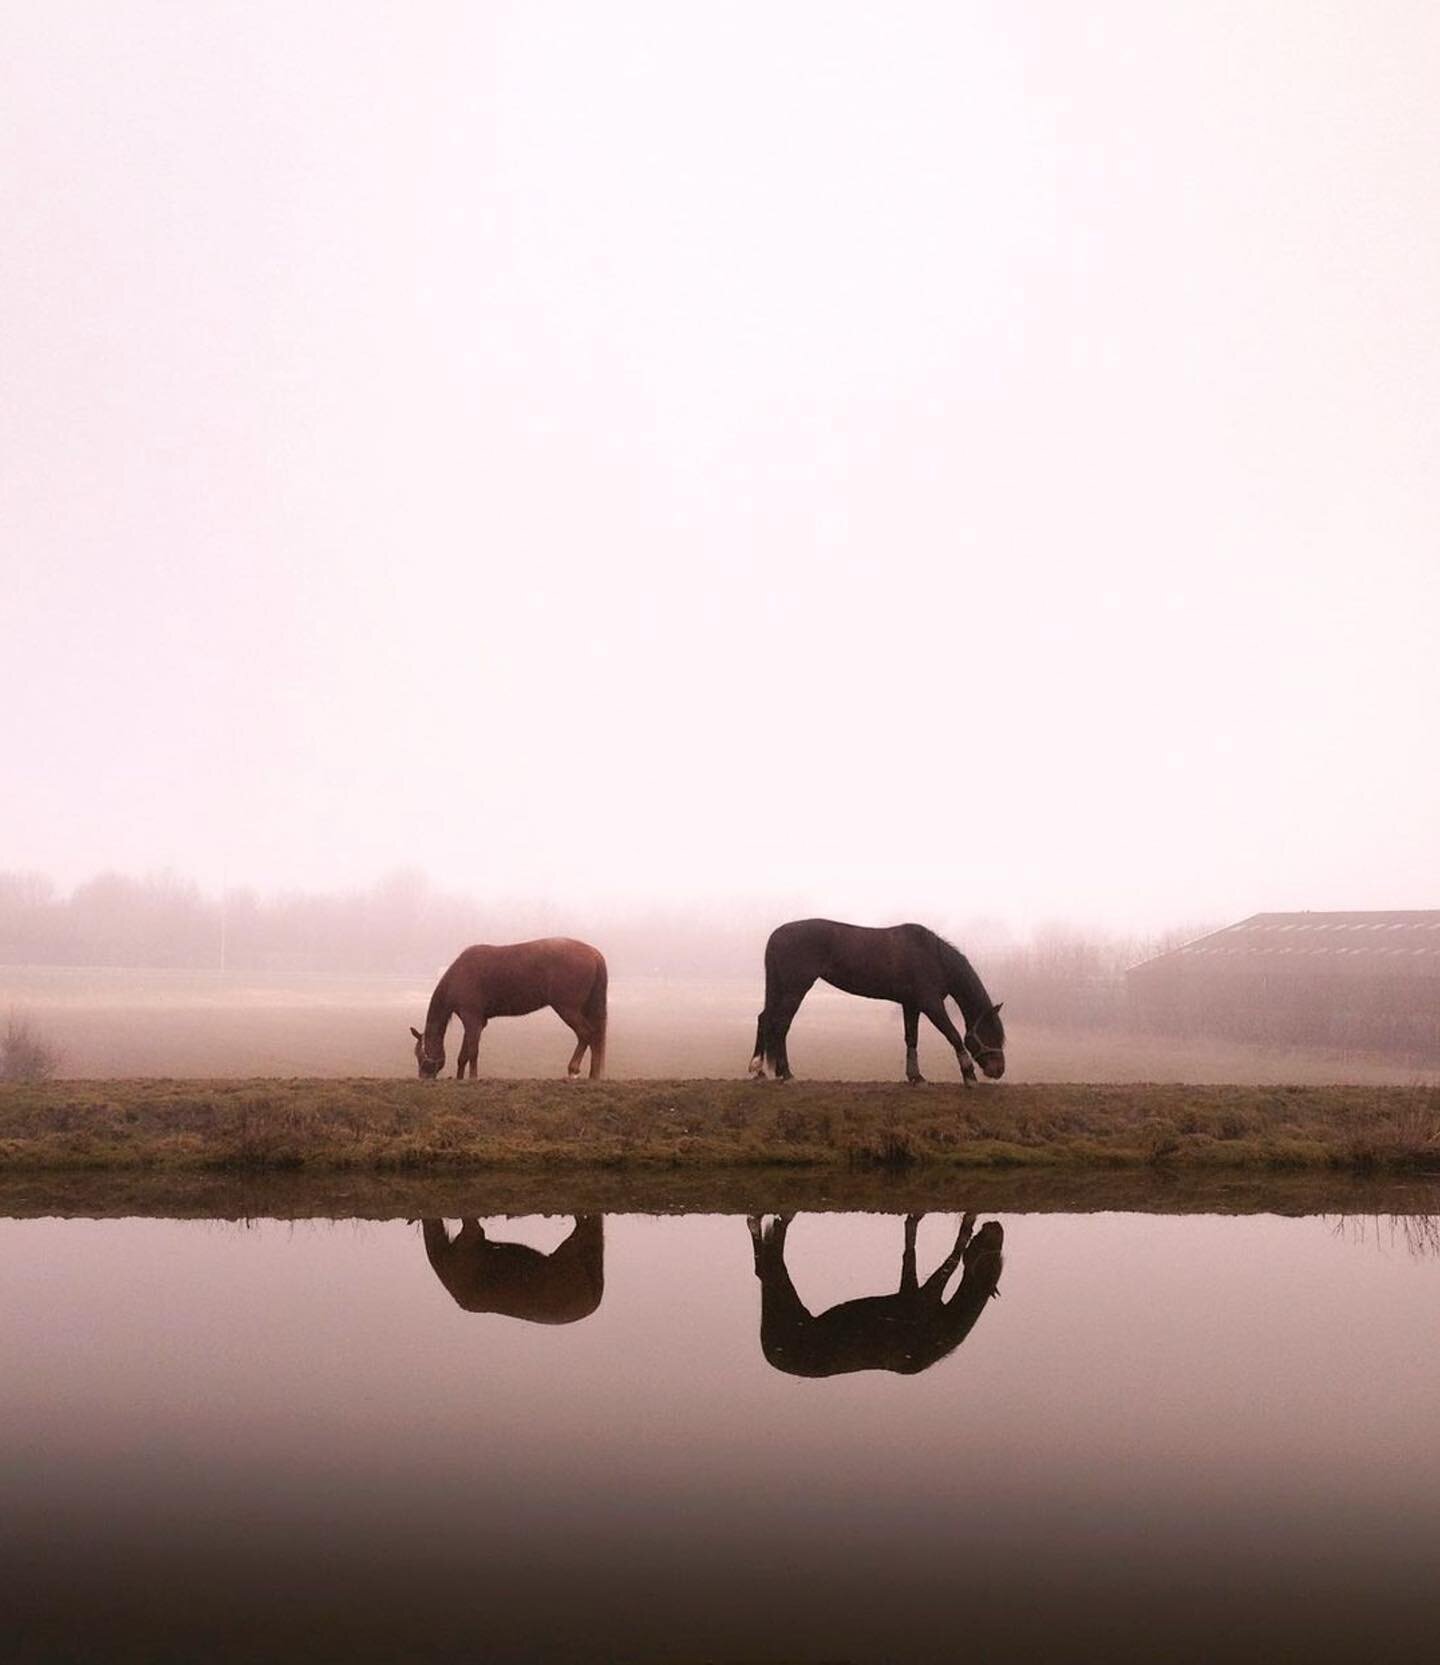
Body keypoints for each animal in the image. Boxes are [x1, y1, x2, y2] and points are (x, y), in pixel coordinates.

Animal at [409, 939, 605, 1078]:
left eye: (420, 1056)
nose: (423, 1077)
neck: (459, 976)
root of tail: (594, 953)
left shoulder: (472, 1019)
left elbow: (472, 1051)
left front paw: (473, 1078)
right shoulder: (475, 1022)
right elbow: (463, 1055)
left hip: (567, 1009)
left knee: (586, 1034)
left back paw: (574, 1070)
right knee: (594, 1037)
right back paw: (593, 1076)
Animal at [745, 919, 1005, 1085]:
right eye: (990, 1033)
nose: (999, 1070)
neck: (933, 957)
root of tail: (777, 935)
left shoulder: (911, 1005)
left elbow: (911, 1038)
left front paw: (916, 1077)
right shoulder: (931, 1004)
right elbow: (953, 1035)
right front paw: (969, 1077)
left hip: (781, 988)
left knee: (765, 1019)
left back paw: (760, 1070)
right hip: (795, 988)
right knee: (780, 1024)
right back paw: (787, 1074)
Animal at [745, 1212, 1005, 1378]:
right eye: (992, 1256)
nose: (997, 1226)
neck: (940, 1332)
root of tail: (770, 1353)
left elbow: (912, 1240)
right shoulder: (920, 1297)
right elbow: (948, 1256)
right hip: (784, 1299)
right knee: (770, 1262)